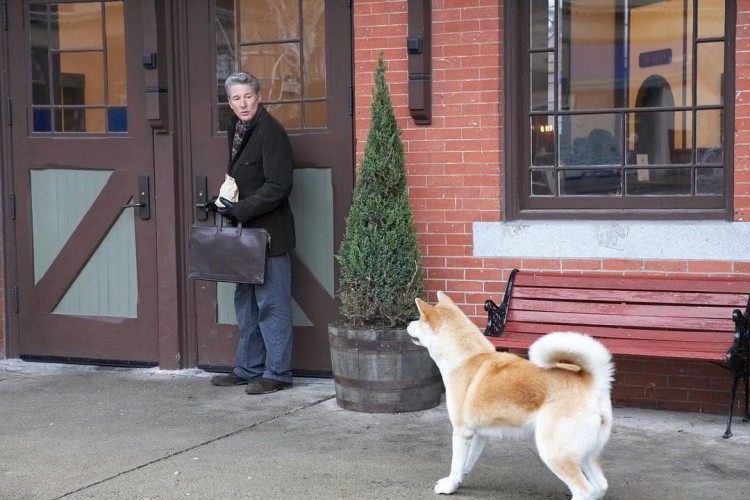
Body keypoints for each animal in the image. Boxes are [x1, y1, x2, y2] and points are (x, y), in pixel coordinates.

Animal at [412, 292, 616, 498]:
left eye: (419, 320)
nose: (409, 324)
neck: (466, 359)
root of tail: (594, 381)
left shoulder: (462, 431)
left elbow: (456, 465)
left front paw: (449, 486)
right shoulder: (478, 434)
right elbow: (466, 463)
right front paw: (459, 480)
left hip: (554, 453)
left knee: (585, 490)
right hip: (584, 454)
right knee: (601, 486)